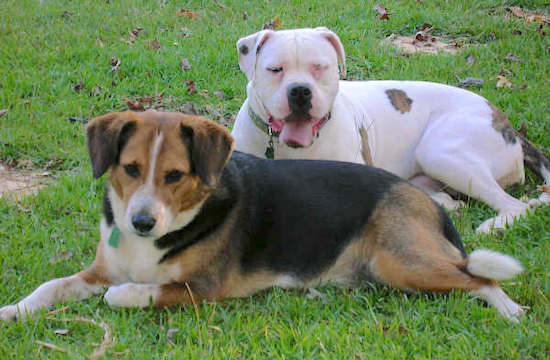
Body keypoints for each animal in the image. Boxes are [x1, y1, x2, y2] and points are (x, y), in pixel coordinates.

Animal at [0, 110, 528, 320]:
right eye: (130, 169)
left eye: (174, 175)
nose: (142, 222)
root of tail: (425, 200)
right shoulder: (98, 270)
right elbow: (50, 287)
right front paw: (13, 312)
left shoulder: (202, 290)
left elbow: (123, 295)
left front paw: (128, 293)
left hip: (403, 261)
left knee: (481, 279)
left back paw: (512, 312)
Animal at [233, 26, 550, 233]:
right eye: (276, 69)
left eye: (319, 67)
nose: (300, 91)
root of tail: (508, 125)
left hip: (442, 151)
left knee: (516, 205)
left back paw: (494, 225)